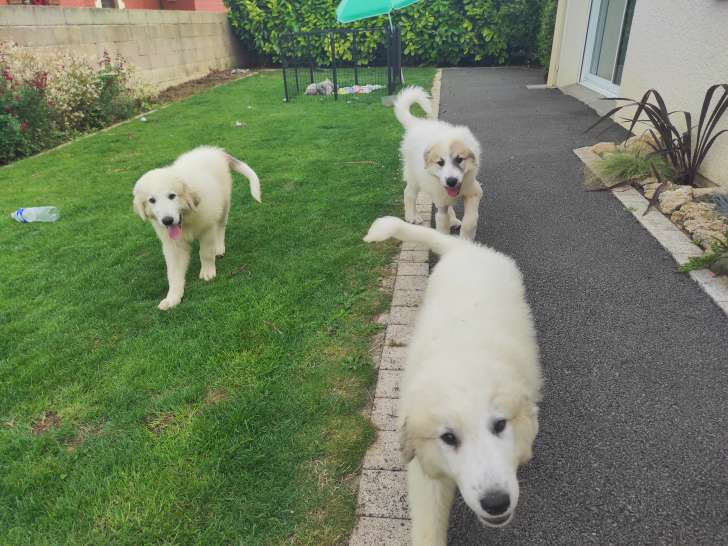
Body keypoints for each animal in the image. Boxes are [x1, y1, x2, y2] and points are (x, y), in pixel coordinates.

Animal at [132, 146, 260, 310]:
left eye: (172, 196)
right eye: (152, 200)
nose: (167, 221)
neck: (186, 219)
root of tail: (215, 151)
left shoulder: (207, 229)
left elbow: (205, 253)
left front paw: (207, 272)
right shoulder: (173, 245)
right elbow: (173, 273)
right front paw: (172, 298)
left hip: (223, 204)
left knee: (221, 226)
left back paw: (219, 247)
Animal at [364, 217, 540, 544]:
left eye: (500, 425)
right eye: (448, 438)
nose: (496, 503)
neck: (461, 360)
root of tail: (463, 249)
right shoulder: (424, 468)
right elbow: (428, 520)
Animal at [392, 85, 484, 238]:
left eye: (459, 159)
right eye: (440, 162)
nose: (451, 181)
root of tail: (417, 123)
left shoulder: (473, 191)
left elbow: (470, 220)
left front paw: (466, 238)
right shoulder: (441, 200)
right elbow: (442, 223)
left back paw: (453, 220)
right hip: (414, 177)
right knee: (409, 193)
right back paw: (412, 216)